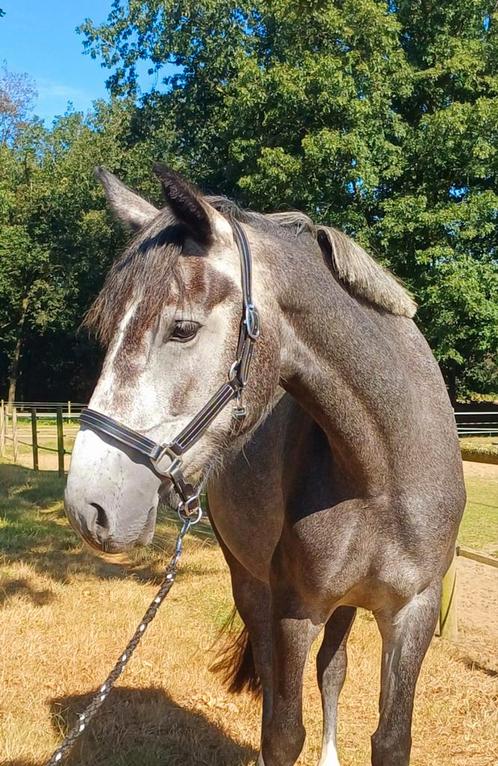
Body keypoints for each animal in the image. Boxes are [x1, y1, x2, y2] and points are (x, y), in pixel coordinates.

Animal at [64, 168, 464, 766]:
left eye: (182, 329)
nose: (89, 506)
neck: (384, 471)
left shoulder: (412, 611)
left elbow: (390, 738)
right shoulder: (295, 609)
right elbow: (282, 731)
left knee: (332, 670)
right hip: (251, 583)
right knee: (277, 676)